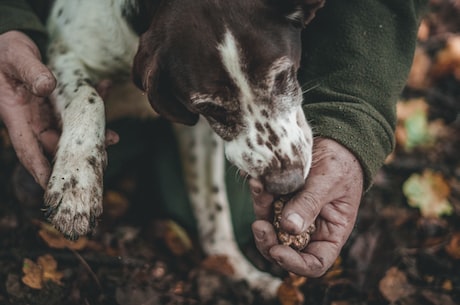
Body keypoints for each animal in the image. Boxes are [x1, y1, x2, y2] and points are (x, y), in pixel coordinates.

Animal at [42, 0, 324, 296]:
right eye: (210, 107)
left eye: (282, 76)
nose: (286, 183)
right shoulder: (63, 56)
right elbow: (88, 97)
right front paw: (75, 185)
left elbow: (212, 206)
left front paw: (236, 270)